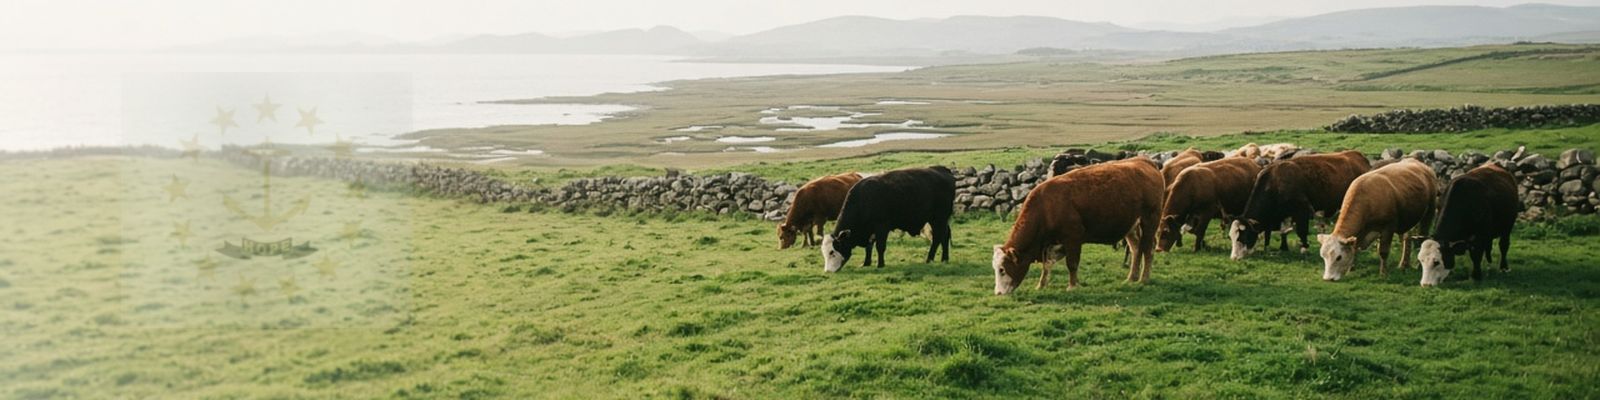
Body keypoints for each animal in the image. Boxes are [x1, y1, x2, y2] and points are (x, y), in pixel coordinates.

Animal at [821, 166, 955, 272]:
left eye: (832, 252)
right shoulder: (871, 230)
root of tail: (942, 169)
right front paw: (866, 263)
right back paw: (945, 258)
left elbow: (880, 246)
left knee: (938, 237)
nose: (828, 271)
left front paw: (880, 265)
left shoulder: (881, 226)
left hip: (938, 218)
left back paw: (930, 259)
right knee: (945, 235)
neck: (864, 199)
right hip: (941, 220)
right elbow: (869, 246)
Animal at [992, 157, 1163, 295]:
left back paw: (1143, 278)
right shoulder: (1051, 244)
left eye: (1002, 269)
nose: (998, 293)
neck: (1046, 205)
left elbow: (1072, 263)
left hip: (1150, 220)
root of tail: (1144, 161)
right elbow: (1046, 266)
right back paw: (1131, 278)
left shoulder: (1073, 238)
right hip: (1131, 227)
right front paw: (1041, 285)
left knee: (1147, 249)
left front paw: (1072, 286)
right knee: (1136, 249)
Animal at [1230, 150, 1371, 260]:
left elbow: (1301, 231)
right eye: (1231, 237)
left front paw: (1304, 249)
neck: (1275, 182)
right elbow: (1280, 232)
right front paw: (1281, 247)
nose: (1234, 258)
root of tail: (1357, 154)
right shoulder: (1279, 215)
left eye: (1243, 236)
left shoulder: (1302, 210)